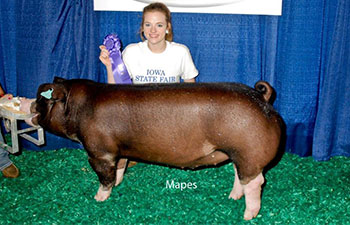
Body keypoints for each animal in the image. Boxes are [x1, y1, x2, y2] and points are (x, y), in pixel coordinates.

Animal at [30, 77, 284, 220]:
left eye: (42, 99)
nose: (31, 104)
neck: (78, 107)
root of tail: (262, 97)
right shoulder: (119, 150)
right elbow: (120, 167)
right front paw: (119, 184)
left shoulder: (99, 152)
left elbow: (104, 175)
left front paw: (98, 199)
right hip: (239, 153)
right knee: (239, 176)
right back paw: (232, 197)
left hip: (249, 151)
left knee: (256, 181)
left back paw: (247, 215)